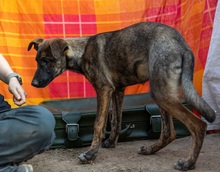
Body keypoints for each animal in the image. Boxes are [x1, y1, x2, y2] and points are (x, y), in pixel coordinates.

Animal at [27, 21, 215, 171]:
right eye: (37, 60)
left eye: (46, 61)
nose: (33, 84)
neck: (81, 51)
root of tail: (182, 44)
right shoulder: (118, 90)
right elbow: (116, 120)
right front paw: (111, 142)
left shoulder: (104, 89)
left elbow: (99, 124)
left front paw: (91, 154)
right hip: (162, 92)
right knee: (169, 132)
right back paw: (150, 150)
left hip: (161, 93)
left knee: (198, 125)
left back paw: (188, 163)